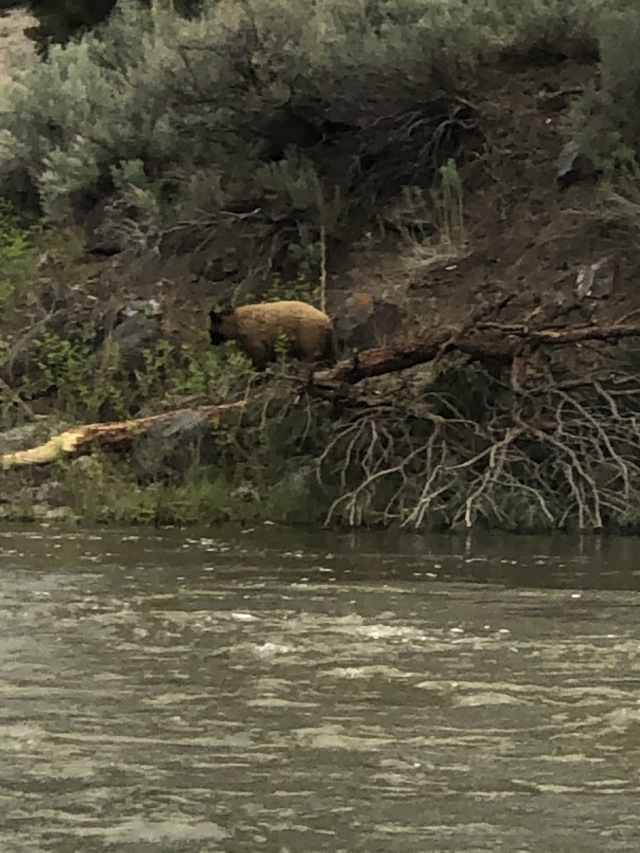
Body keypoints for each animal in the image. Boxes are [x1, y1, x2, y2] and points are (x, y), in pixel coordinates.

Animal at [208, 300, 338, 369]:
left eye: (210, 331)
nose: (212, 342)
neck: (236, 323)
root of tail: (327, 320)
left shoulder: (253, 336)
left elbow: (258, 356)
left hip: (309, 334)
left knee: (311, 354)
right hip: (327, 340)